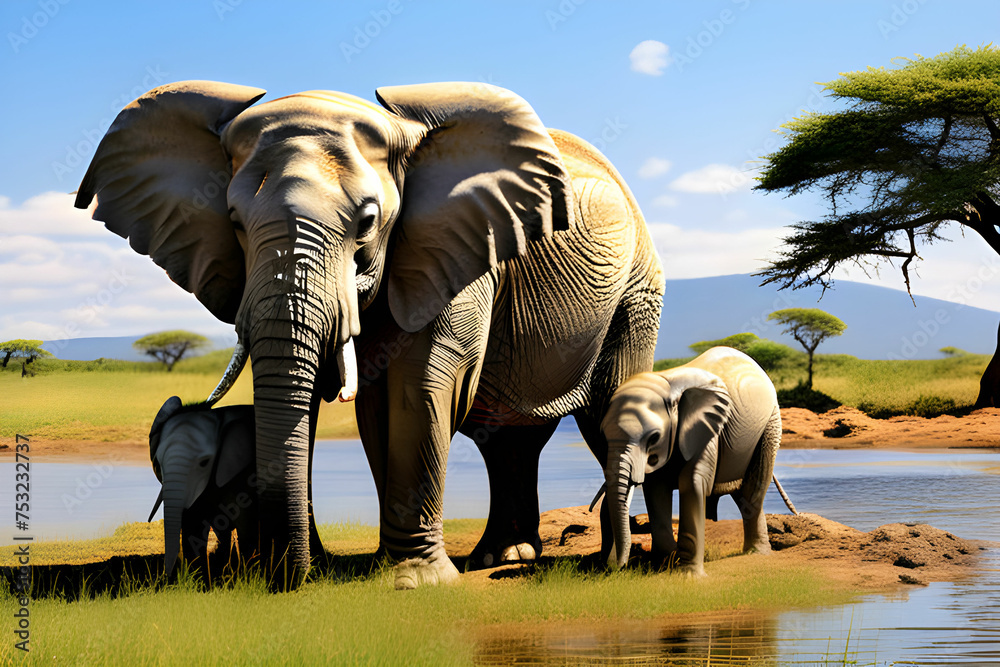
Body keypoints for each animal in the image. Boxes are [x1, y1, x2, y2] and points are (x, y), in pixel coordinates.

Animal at [77, 80, 664, 589]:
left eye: (366, 222)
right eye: (236, 223)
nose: (291, 577)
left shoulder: (453, 248)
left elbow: (418, 389)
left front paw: (412, 582)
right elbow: (356, 405)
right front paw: (334, 568)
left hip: (636, 292)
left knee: (605, 408)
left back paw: (609, 563)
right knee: (509, 439)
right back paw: (504, 556)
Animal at [599, 347, 797, 576]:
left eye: (654, 437)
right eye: (604, 436)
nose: (613, 566)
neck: (668, 383)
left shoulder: (709, 431)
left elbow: (691, 482)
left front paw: (688, 576)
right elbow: (656, 487)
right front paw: (666, 562)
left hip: (770, 424)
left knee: (753, 489)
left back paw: (757, 554)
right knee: (741, 492)